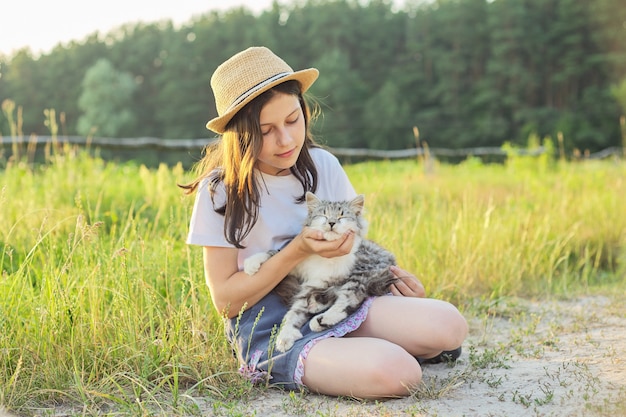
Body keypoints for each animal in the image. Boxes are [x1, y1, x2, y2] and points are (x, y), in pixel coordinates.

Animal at [243, 191, 394, 352]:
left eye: (341, 216)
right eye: (324, 215)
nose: (332, 222)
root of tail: (392, 259)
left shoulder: (321, 281)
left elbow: (296, 311)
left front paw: (285, 336)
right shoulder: (302, 276)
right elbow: (275, 254)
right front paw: (251, 263)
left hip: (359, 274)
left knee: (348, 301)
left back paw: (320, 320)